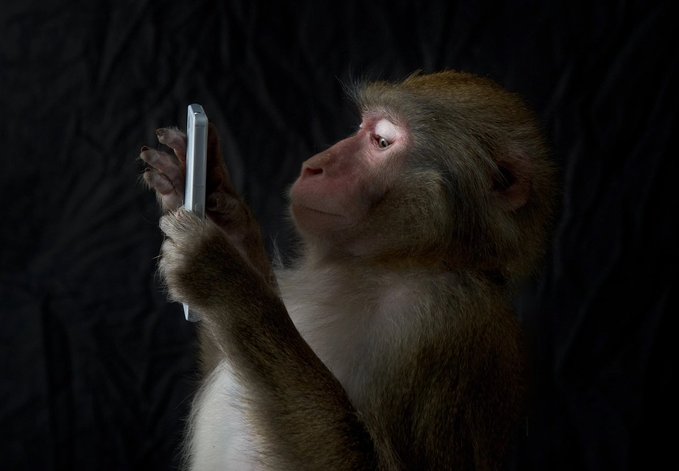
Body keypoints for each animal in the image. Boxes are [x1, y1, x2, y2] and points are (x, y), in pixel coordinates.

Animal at [140, 70, 556, 470]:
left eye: (382, 142)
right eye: (359, 128)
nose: (314, 166)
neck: (388, 264)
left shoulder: (442, 324)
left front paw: (223, 278)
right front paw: (213, 201)